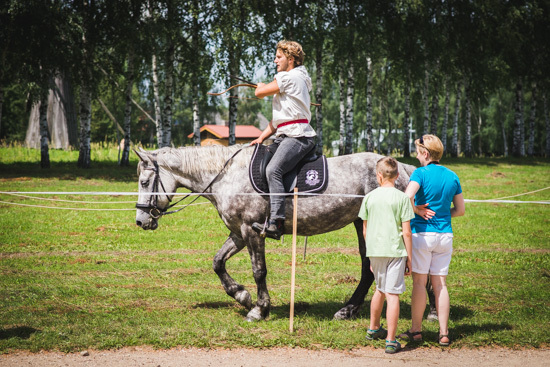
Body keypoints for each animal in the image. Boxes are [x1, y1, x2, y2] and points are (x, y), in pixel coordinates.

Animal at [136, 144, 416, 322]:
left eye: (143, 182)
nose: (140, 221)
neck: (226, 175)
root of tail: (402, 168)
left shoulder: (251, 231)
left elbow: (259, 271)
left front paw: (259, 309)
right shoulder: (239, 232)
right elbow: (217, 262)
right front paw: (241, 295)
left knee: (373, 267)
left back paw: (349, 310)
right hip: (362, 222)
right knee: (369, 267)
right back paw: (349, 310)